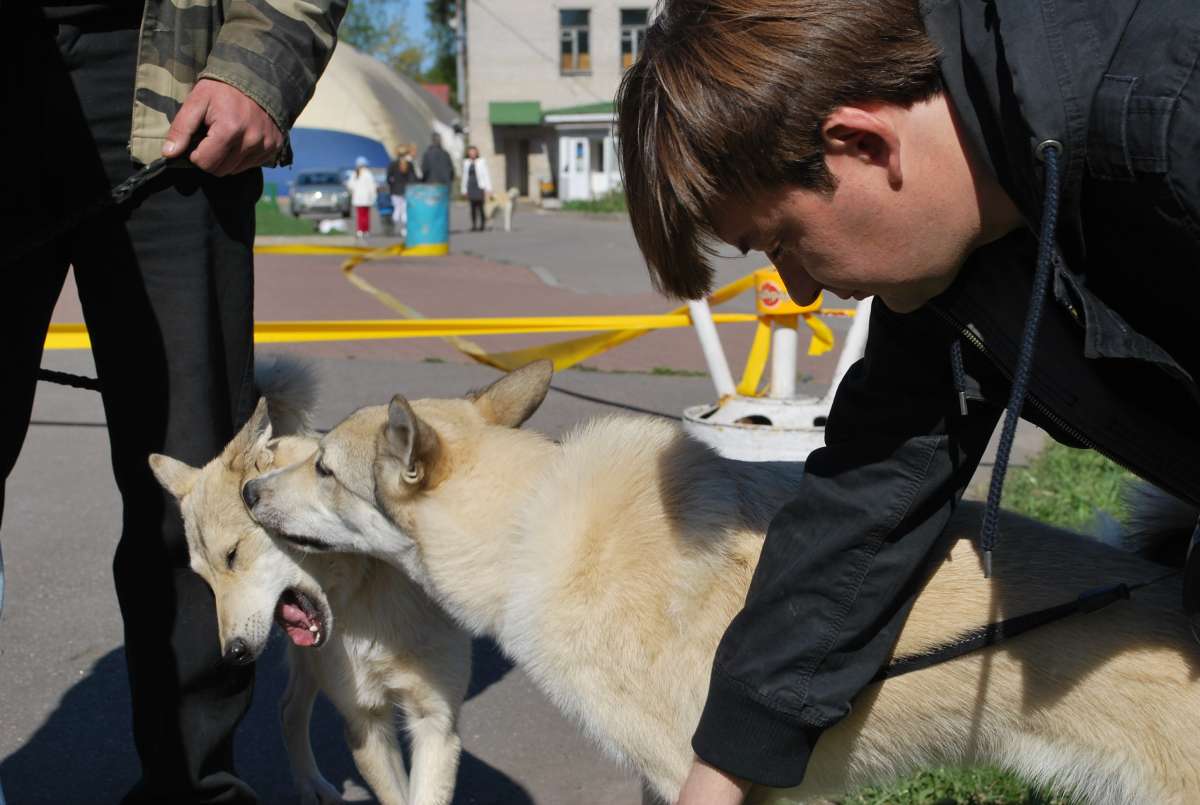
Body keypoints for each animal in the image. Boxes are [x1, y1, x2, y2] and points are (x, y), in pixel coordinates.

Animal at [149, 358, 471, 805]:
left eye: (232, 555)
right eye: (204, 580)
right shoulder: (365, 723)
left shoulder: (437, 721)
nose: (232, 653)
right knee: (288, 710)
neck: (371, 580)